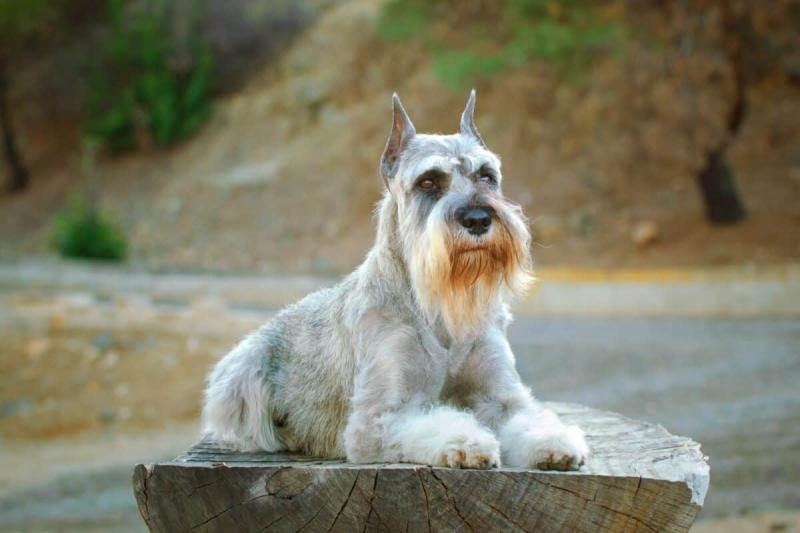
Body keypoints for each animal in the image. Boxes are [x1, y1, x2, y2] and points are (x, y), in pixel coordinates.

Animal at [200, 91, 588, 470]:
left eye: (486, 175)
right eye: (428, 181)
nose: (478, 218)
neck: (440, 311)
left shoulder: (502, 398)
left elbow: (530, 417)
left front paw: (555, 441)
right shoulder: (381, 417)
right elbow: (434, 423)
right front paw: (467, 442)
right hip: (242, 377)